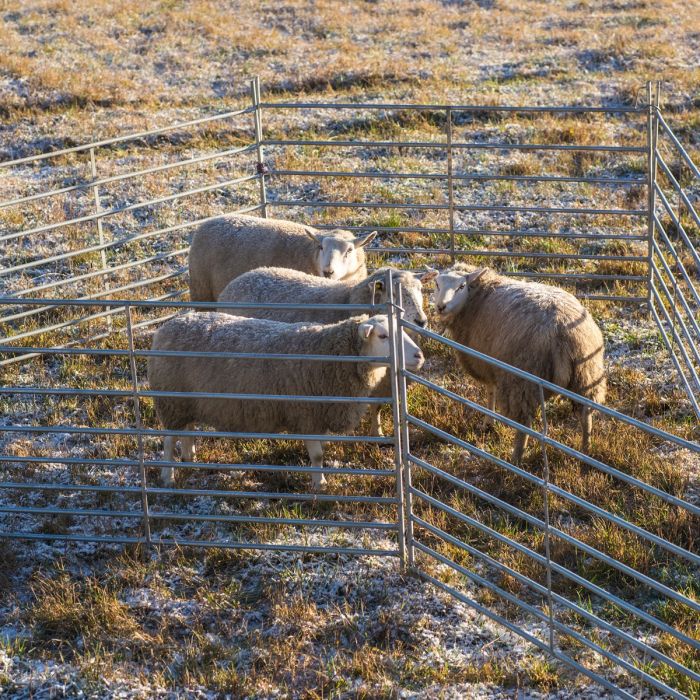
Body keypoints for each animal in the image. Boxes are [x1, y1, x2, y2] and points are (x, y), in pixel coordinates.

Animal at [148, 314, 424, 490]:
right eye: (383, 336)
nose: (419, 356)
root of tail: (166, 327)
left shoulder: (319, 414)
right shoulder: (306, 415)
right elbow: (317, 455)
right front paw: (320, 485)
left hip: (185, 400)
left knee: (187, 430)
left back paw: (190, 458)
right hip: (170, 399)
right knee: (169, 439)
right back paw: (168, 476)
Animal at [187, 213, 378, 300]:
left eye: (350, 250)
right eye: (321, 247)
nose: (328, 271)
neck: (310, 255)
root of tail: (208, 222)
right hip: (202, 290)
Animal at [219, 266, 434, 438]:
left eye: (420, 289)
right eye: (394, 294)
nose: (421, 321)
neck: (348, 301)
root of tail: (239, 279)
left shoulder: (381, 385)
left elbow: (377, 408)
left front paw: (378, 433)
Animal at [430, 264, 604, 464]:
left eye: (461, 286)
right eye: (437, 284)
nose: (441, 306)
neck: (478, 296)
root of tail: (563, 333)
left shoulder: (486, 361)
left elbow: (490, 391)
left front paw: (488, 423)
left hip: (522, 380)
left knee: (524, 423)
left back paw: (515, 459)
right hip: (586, 375)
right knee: (586, 414)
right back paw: (585, 453)